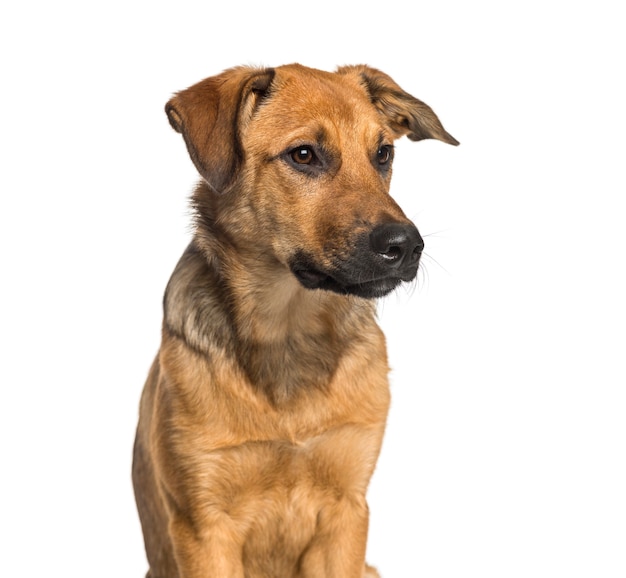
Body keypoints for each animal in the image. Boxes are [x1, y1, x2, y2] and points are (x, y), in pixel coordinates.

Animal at [132, 63, 456, 576]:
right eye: (304, 155)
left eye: (383, 154)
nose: (406, 246)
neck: (289, 331)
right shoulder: (204, 526)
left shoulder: (346, 512)